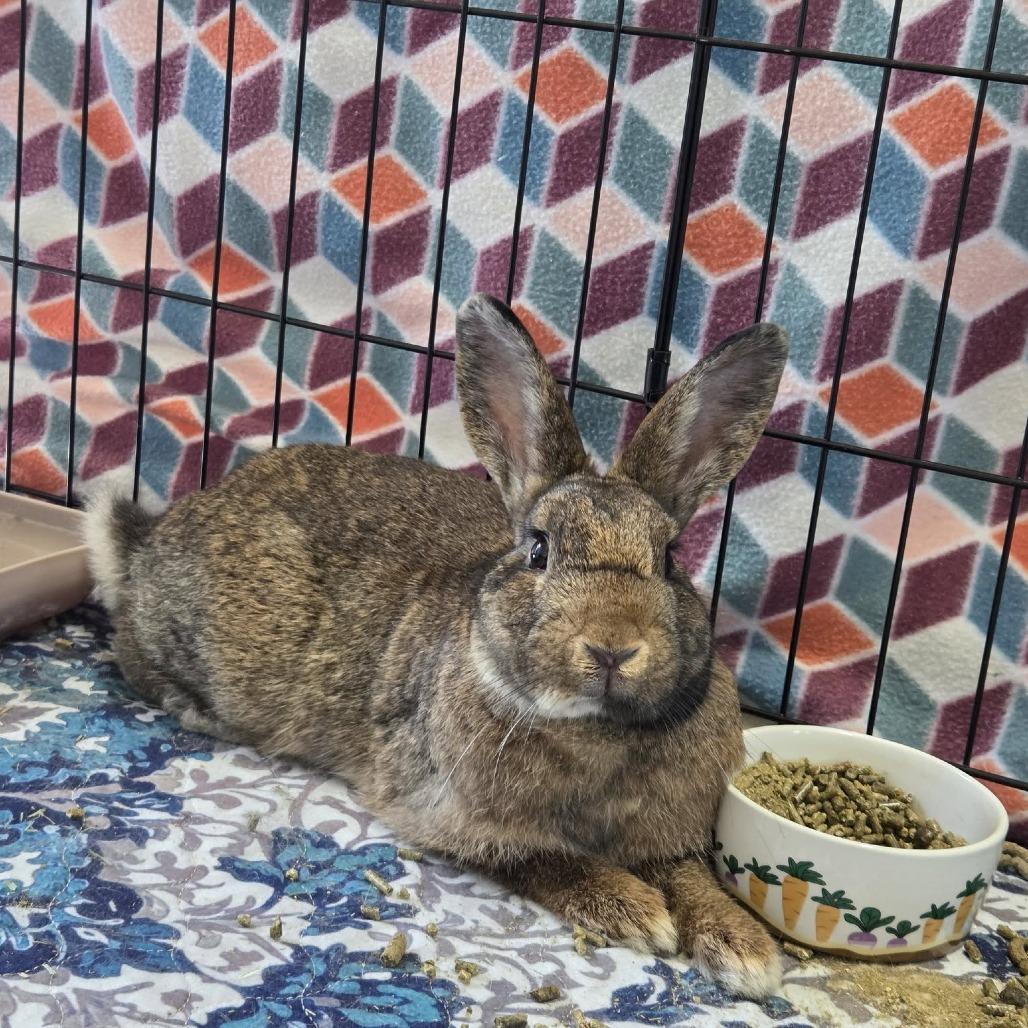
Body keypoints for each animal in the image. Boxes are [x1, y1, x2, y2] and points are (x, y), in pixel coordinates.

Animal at [84, 293, 788, 997]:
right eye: (538, 549)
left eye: (669, 559)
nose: (612, 648)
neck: (597, 732)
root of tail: (147, 541)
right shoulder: (451, 813)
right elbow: (544, 859)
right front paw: (635, 911)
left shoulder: (671, 833)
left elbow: (692, 877)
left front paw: (745, 950)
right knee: (132, 652)